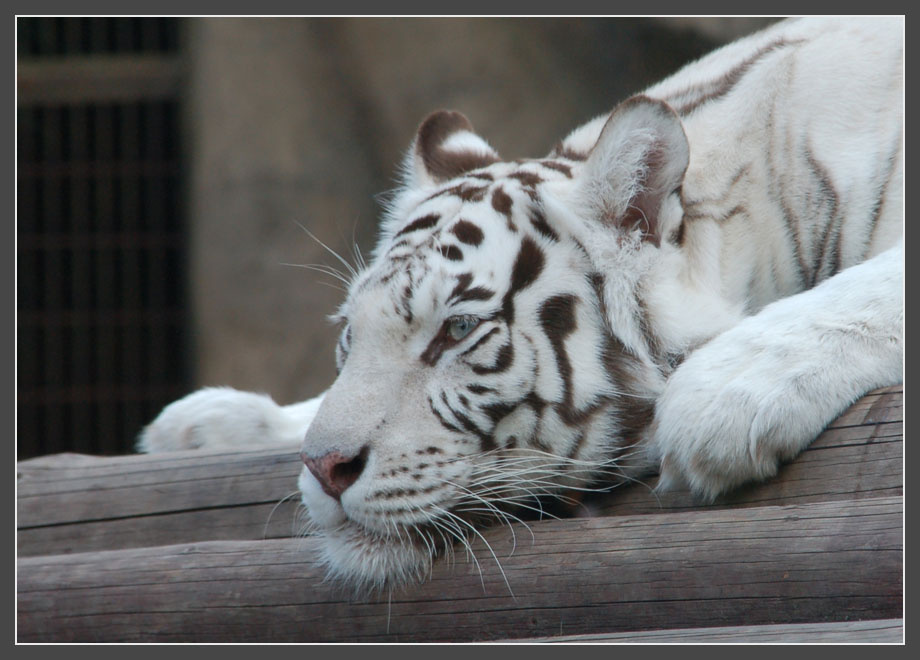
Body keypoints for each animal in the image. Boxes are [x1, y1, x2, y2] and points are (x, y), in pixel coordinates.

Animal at [139, 17, 904, 593]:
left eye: (458, 330)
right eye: (349, 338)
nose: (324, 471)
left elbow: (877, 282)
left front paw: (721, 399)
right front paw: (208, 425)